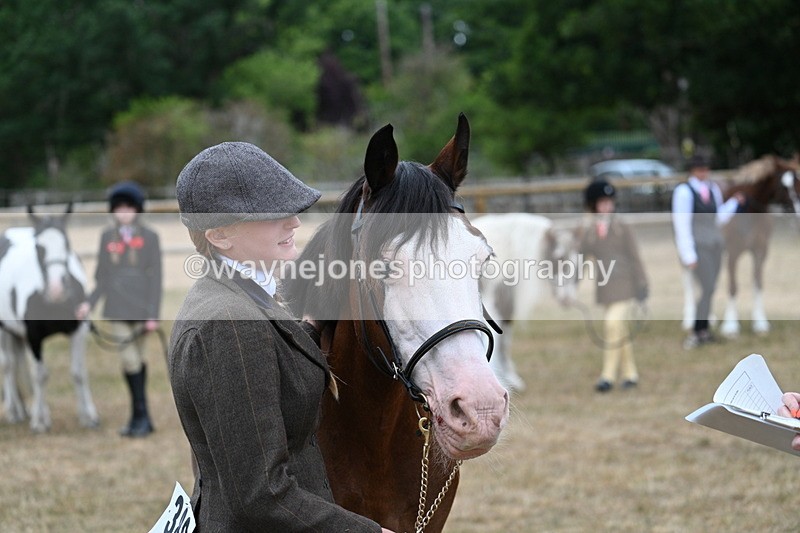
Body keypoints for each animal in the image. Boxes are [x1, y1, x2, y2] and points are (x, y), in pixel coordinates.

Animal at [0, 205, 99, 432]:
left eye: (67, 244)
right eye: (39, 247)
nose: (56, 288)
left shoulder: (79, 330)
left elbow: (79, 373)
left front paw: (87, 416)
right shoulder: (34, 337)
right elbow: (40, 375)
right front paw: (39, 422)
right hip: (4, 330)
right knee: (8, 365)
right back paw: (16, 412)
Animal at [471, 213, 583, 392]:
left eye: (578, 261)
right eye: (558, 258)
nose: (567, 299)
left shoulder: (506, 307)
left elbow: (505, 341)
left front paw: (510, 378)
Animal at [713, 154, 800, 337]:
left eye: (799, 181)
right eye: (784, 185)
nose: (798, 215)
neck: (748, 209)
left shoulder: (760, 251)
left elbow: (758, 283)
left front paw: (760, 323)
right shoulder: (733, 252)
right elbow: (733, 286)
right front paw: (730, 326)